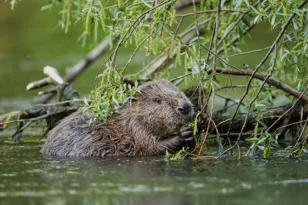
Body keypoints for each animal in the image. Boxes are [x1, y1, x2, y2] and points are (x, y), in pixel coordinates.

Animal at [40, 79, 195, 156]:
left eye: (180, 91)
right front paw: (183, 134)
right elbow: (152, 147)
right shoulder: (136, 129)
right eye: (157, 100)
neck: (124, 119)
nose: (185, 106)